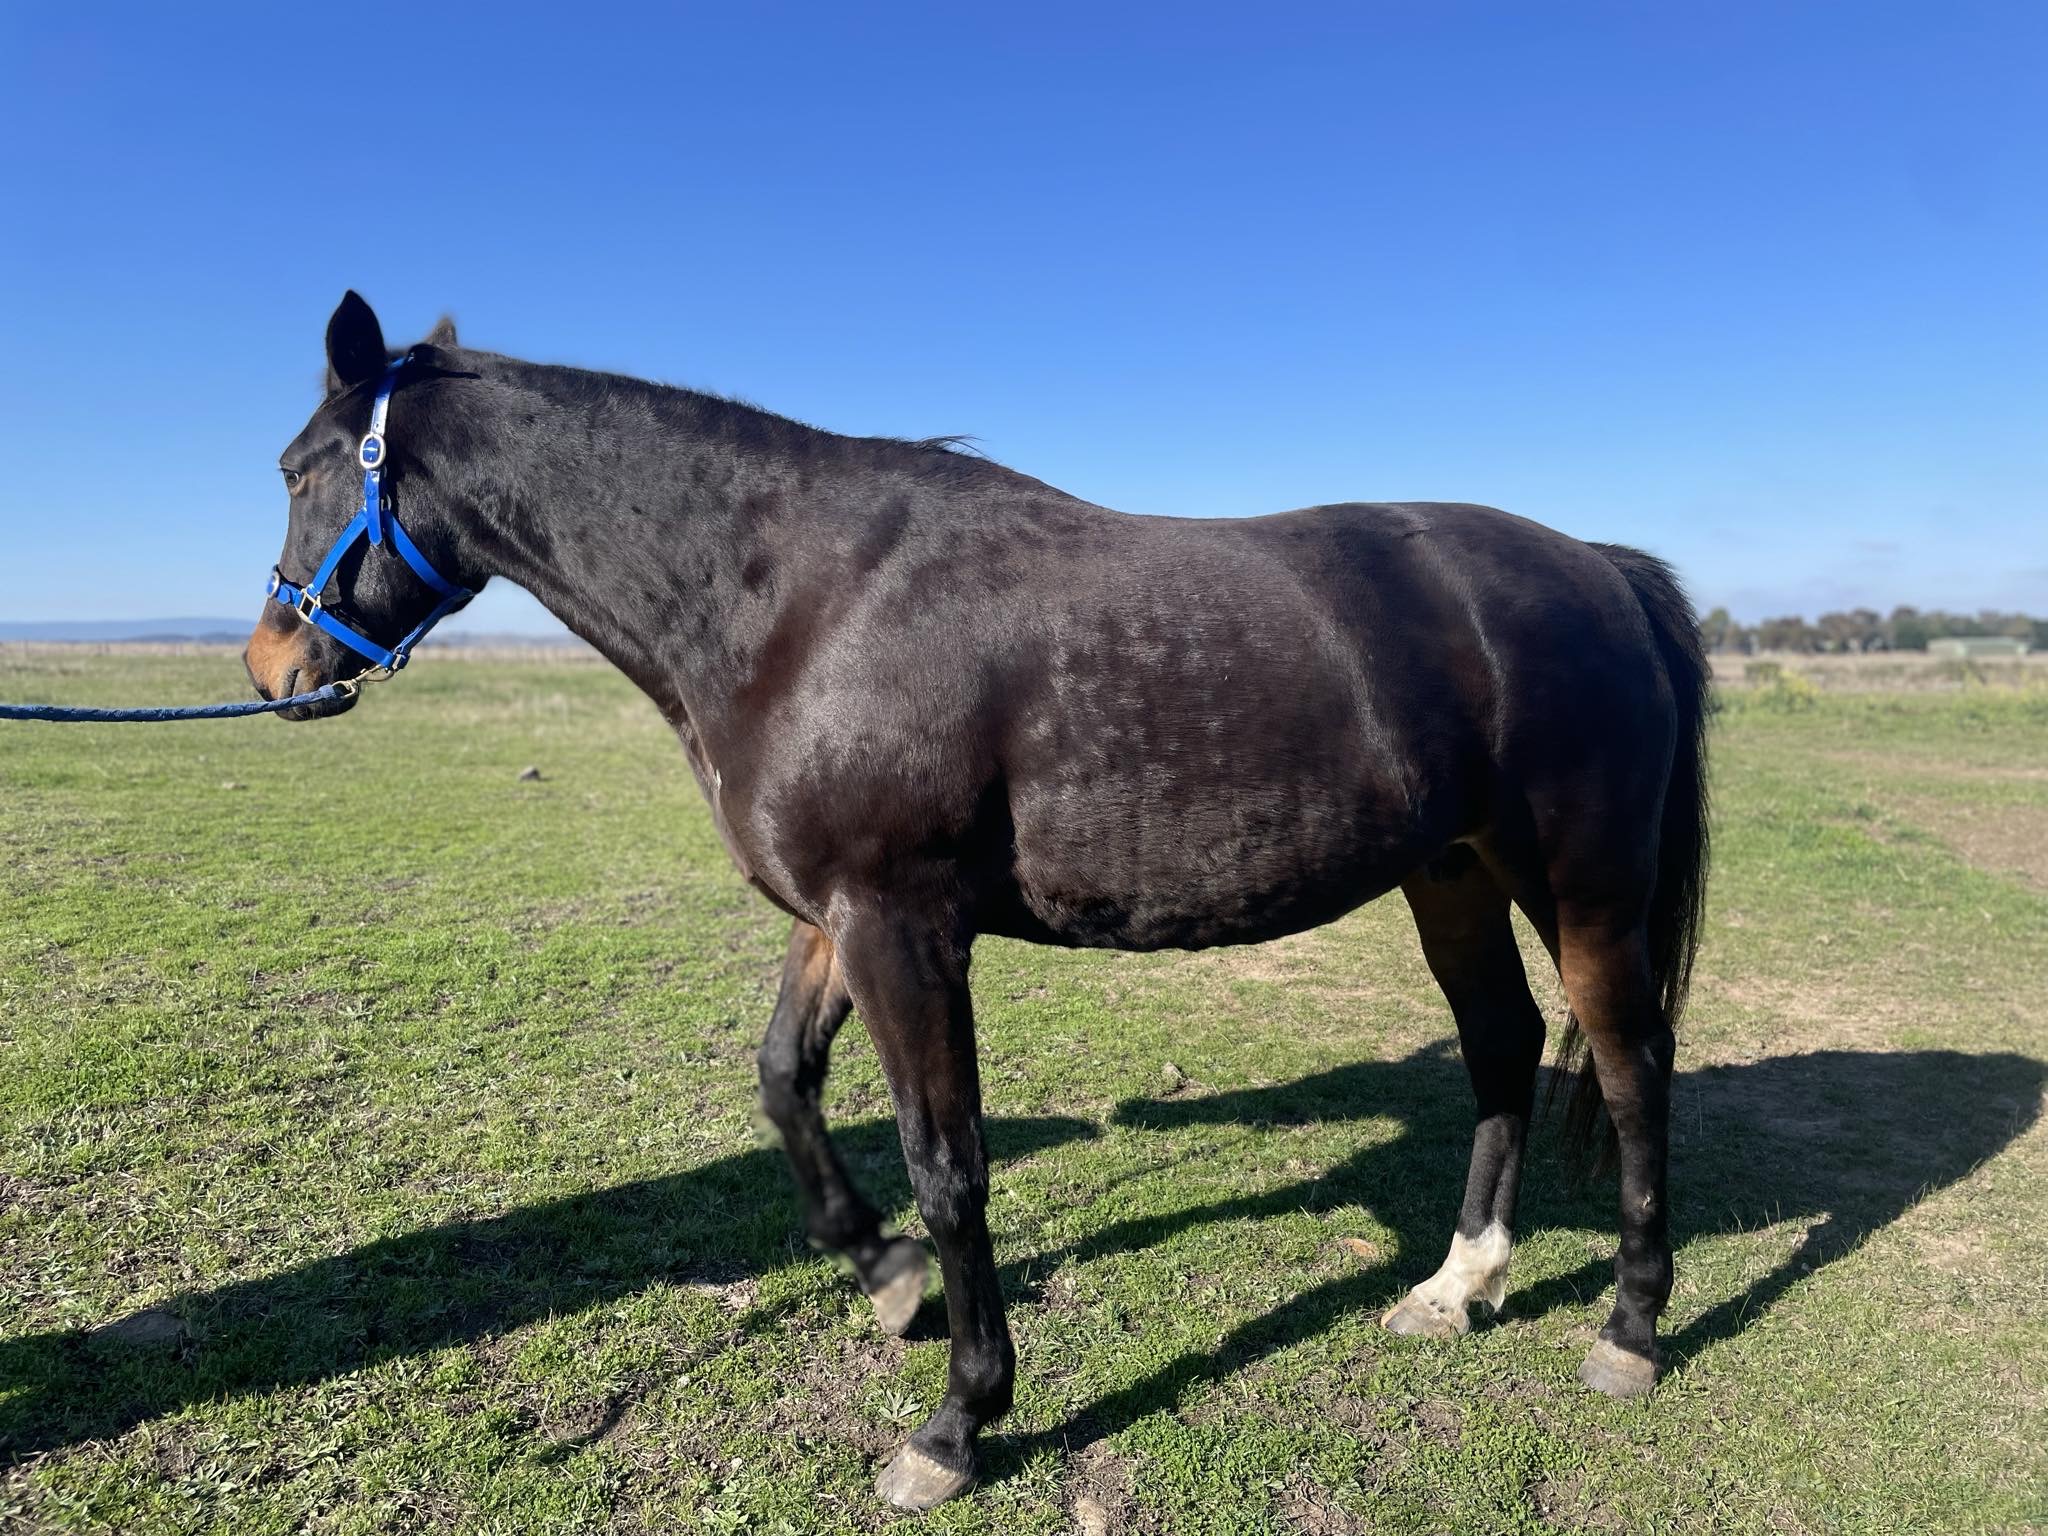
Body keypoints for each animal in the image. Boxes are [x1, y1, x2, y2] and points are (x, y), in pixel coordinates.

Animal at [246, 291, 1711, 1511]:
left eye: (298, 467)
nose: (271, 666)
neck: (800, 600)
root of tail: (1597, 567)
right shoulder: (836, 919)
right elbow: (783, 1082)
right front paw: (885, 1279)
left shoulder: (904, 931)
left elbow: (948, 1167)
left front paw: (957, 1423)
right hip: (1449, 875)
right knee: (1501, 1048)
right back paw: (1458, 1288)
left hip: (1580, 884)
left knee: (1629, 1065)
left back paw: (1630, 1329)